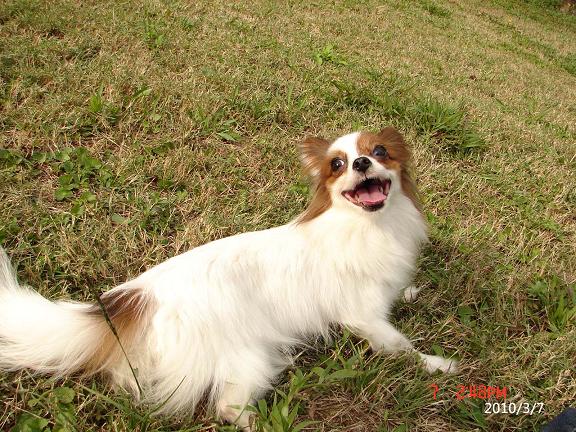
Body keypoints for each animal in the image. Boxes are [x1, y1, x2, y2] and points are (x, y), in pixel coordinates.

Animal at [0, 127, 457, 429]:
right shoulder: (364, 317)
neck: (371, 224)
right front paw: (438, 365)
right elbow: (401, 347)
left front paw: (411, 292)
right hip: (250, 358)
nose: (362, 163)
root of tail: (138, 296)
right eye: (337, 165)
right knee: (228, 408)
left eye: (379, 151)